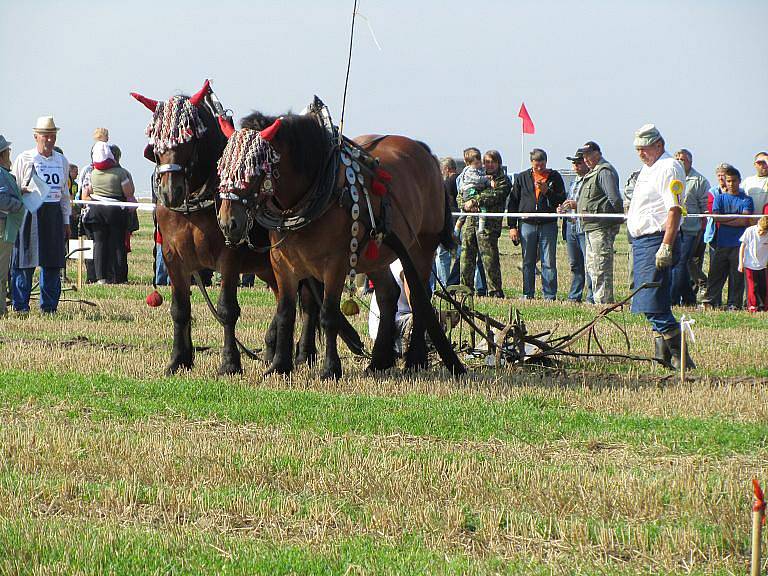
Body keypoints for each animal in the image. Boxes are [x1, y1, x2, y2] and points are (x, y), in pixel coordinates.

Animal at [219, 101, 464, 380]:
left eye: (252, 169)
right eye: (221, 166)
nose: (228, 223)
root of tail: (425, 152)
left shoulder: (336, 264)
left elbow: (329, 314)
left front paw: (330, 368)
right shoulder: (281, 263)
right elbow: (285, 313)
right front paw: (279, 365)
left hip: (421, 248)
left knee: (418, 298)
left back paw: (415, 359)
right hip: (376, 252)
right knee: (388, 294)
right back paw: (379, 360)